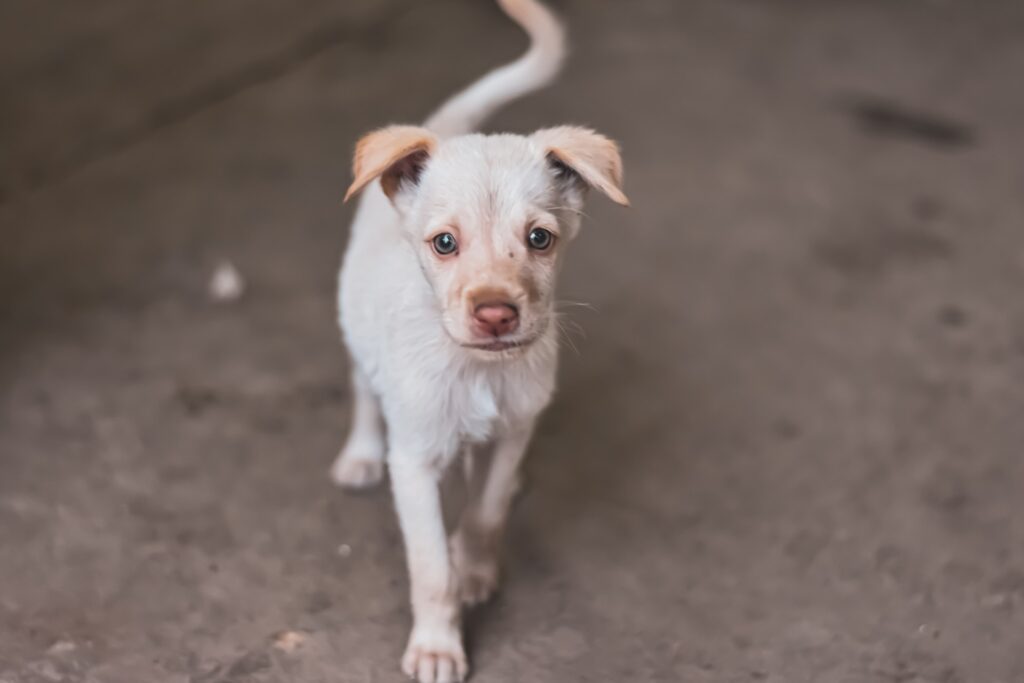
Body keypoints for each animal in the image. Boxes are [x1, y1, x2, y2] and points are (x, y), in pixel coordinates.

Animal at [331, 2, 626, 679]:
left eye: (540, 239)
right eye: (445, 243)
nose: (495, 315)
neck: (477, 369)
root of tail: (440, 128)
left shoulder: (515, 428)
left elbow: (485, 513)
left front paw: (475, 567)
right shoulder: (414, 462)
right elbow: (430, 568)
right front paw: (438, 644)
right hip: (356, 330)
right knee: (363, 391)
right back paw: (360, 454)